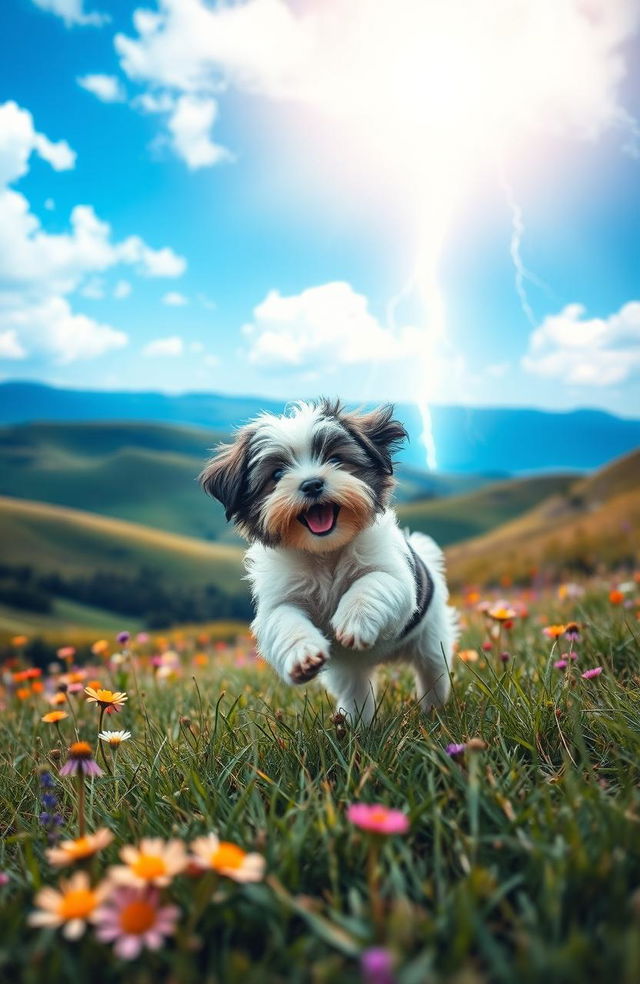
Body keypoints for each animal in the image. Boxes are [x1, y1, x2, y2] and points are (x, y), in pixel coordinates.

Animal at [199, 400, 456, 724]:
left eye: (335, 459)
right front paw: (303, 655)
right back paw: (357, 723)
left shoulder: (396, 576)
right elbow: (284, 620)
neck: (325, 553)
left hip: (430, 635)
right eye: (277, 474)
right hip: (350, 669)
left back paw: (434, 709)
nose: (311, 484)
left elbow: (373, 582)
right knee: (356, 688)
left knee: (432, 668)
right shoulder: (279, 600)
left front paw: (354, 621)